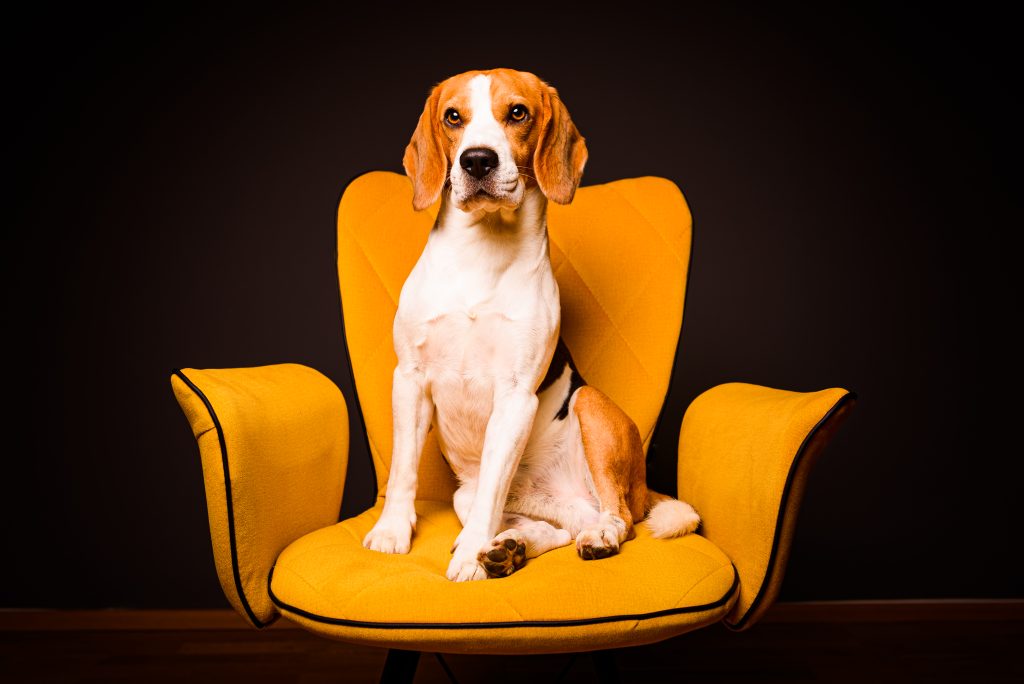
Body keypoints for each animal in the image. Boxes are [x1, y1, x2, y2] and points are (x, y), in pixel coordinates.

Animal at [358, 70, 696, 581]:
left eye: (517, 112)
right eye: (452, 117)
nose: (477, 160)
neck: (481, 253)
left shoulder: (516, 396)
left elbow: (492, 491)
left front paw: (470, 556)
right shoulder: (410, 379)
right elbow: (402, 471)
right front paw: (392, 532)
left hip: (592, 406)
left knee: (616, 516)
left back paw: (589, 537)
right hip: (468, 494)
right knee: (559, 529)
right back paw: (510, 547)